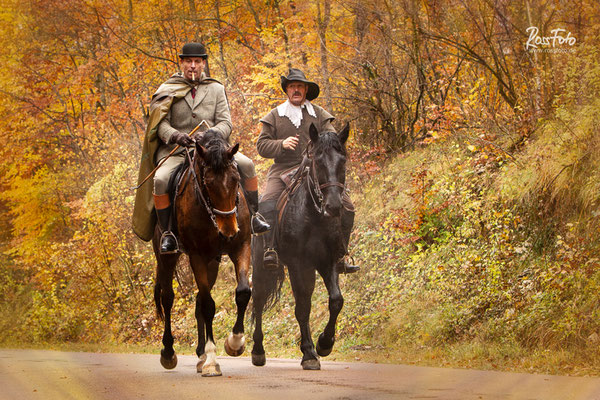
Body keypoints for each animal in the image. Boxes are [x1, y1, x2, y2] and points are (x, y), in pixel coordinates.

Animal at [154, 130, 252, 376]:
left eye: (236, 179)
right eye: (207, 183)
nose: (229, 230)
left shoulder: (242, 246)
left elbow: (243, 292)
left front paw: (235, 342)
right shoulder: (197, 256)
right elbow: (209, 305)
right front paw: (212, 361)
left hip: (213, 262)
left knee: (198, 299)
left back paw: (199, 356)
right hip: (167, 258)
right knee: (168, 298)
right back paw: (169, 352)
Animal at [252, 123, 354, 370]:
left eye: (342, 160)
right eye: (318, 161)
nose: (334, 206)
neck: (314, 216)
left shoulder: (328, 262)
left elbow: (335, 300)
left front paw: (324, 344)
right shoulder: (299, 264)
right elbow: (302, 308)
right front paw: (309, 353)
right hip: (261, 269)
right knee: (258, 301)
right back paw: (258, 351)